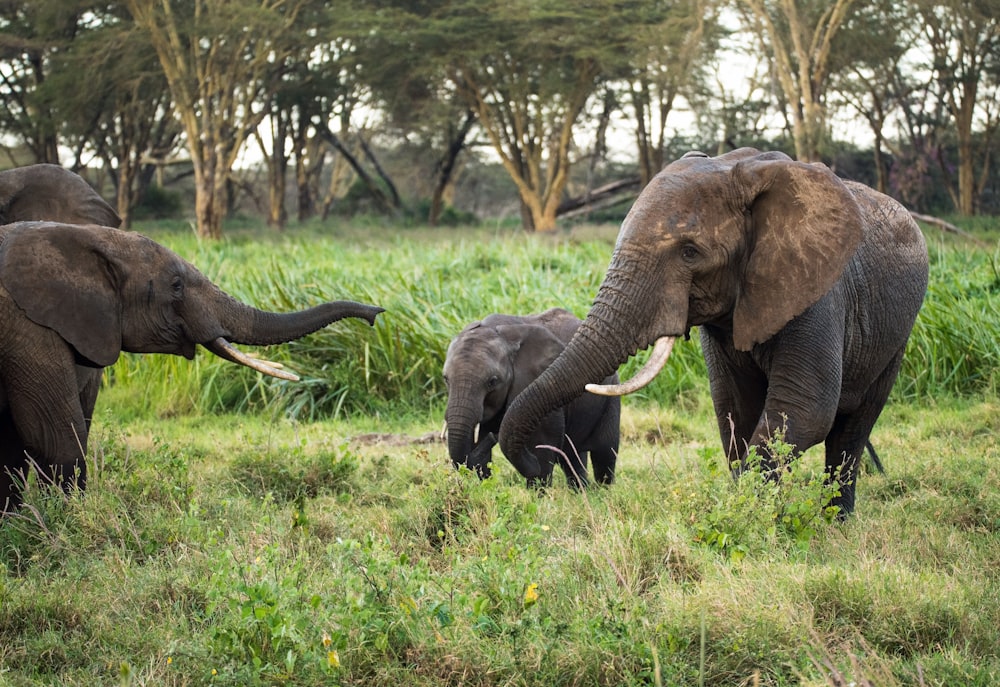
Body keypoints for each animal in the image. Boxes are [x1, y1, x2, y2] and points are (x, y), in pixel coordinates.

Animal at [0, 223, 384, 512]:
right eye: (176, 285)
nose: (376, 313)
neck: (79, 237)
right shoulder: (27, 329)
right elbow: (55, 439)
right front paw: (65, 524)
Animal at [444, 306, 620, 490]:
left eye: (492, 381)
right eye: (446, 379)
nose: (493, 436)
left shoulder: (536, 380)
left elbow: (543, 442)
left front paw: (537, 493)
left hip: (610, 393)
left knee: (604, 452)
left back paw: (603, 491)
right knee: (573, 456)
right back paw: (580, 491)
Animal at [500, 149, 928, 516]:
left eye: (690, 253)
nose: (537, 471)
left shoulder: (819, 291)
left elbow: (803, 407)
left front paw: (749, 517)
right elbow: (735, 409)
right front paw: (751, 510)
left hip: (896, 336)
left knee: (852, 428)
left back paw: (837, 521)